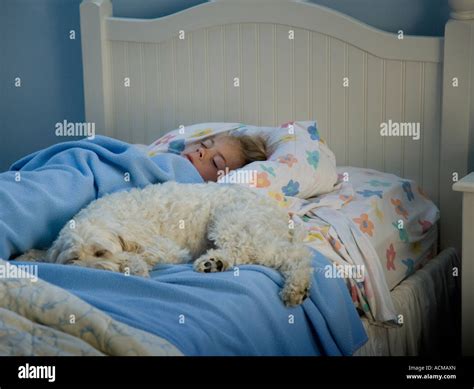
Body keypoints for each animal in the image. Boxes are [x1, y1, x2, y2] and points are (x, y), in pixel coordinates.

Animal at [20, 182, 312, 306]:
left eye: (100, 252)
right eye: (73, 260)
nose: (92, 274)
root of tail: (279, 214)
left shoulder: (165, 248)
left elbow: (138, 256)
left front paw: (134, 267)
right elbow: (43, 253)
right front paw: (29, 255)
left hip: (232, 221)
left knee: (292, 255)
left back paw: (296, 288)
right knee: (242, 253)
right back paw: (213, 262)